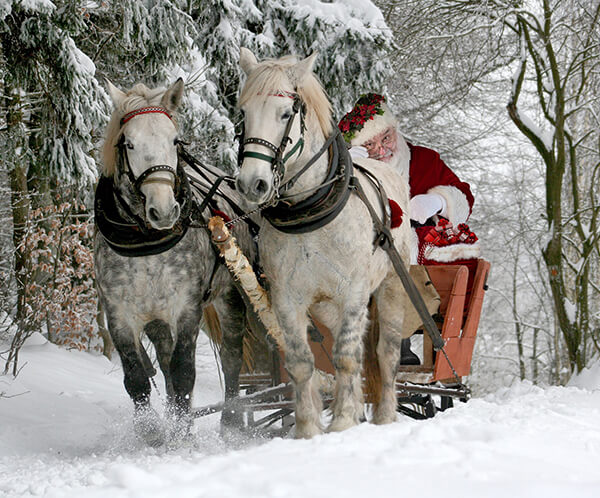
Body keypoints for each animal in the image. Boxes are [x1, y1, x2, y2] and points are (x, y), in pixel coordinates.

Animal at [237, 48, 414, 438]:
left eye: (285, 113)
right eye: (244, 113)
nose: (251, 184)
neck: (309, 212)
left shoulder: (354, 292)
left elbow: (346, 357)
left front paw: (344, 421)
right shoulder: (287, 298)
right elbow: (302, 362)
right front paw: (308, 428)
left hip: (392, 286)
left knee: (385, 353)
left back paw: (384, 415)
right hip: (327, 307)